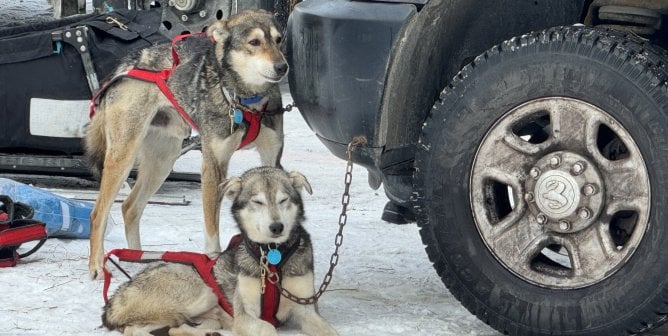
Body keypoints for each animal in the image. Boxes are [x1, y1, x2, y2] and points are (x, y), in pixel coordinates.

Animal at [102, 168, 340, 336]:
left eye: (283, 200)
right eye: (257, 201)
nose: (277, 227)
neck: (273, 258)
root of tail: (117, 295)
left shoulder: (306, 310)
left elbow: (331, 331)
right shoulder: (245, 315)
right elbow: (268, 328)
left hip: (207, 311)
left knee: (178, 329)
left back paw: (211, 333)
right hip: (202, 294)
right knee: (136, 330)